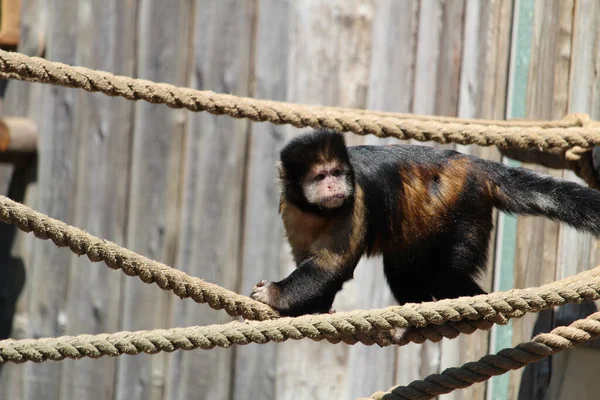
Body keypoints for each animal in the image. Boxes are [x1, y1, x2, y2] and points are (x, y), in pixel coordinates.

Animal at [250, 130, 600, 318]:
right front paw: (315, 309)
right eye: (320, 177)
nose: (334, 186)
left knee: (447, 275)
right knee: (402, 267)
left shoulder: (355, 198)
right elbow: (313, 263)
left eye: (336, 173)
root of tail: (475, 166)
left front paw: (275, 294)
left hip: (465, 205)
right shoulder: (290, 206)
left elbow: (330, 267)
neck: (317, 210)